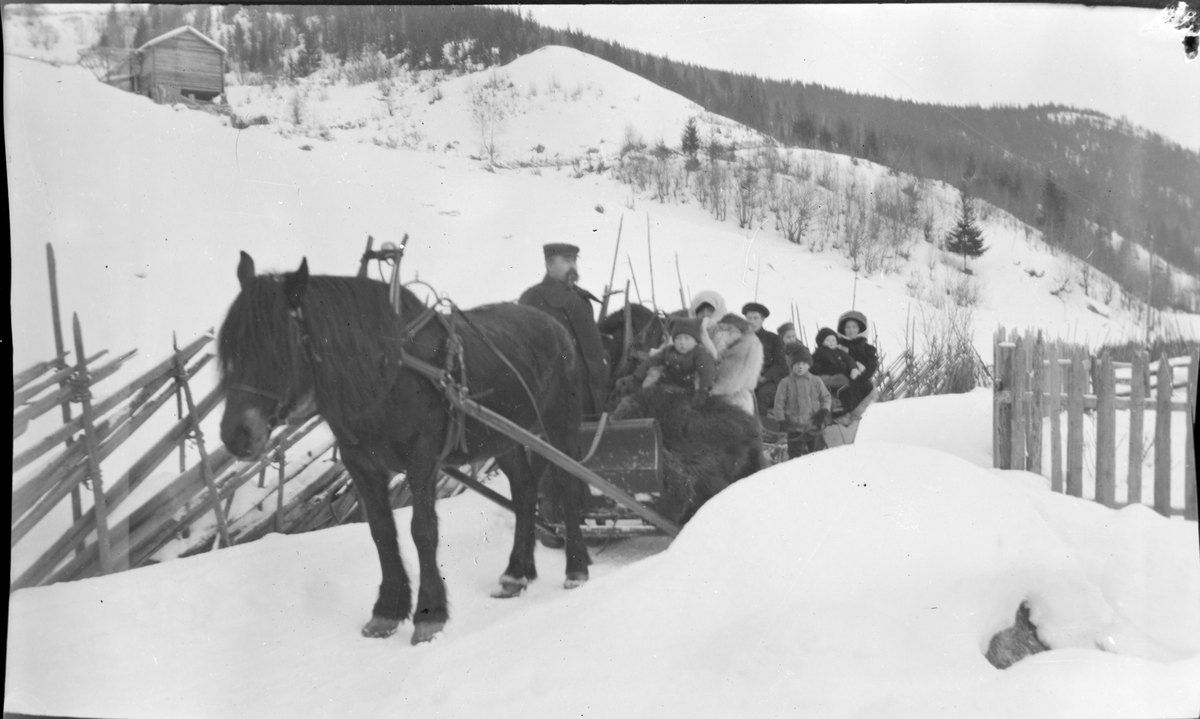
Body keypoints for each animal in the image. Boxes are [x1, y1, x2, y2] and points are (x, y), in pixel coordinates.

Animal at [219, 253, 590, 648]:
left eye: (277, 347)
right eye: (230, 348)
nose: (235, 434)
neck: (386, 372)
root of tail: (555, 326)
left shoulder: (423, 456)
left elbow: (422, 529)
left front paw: (430, 614)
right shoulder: (359, 462)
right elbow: (382, 530)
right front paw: (388, 610)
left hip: (559, 425)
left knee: (568, 486)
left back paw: (577, 567)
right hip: (505, 437)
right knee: (524, 489)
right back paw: (516, 573)